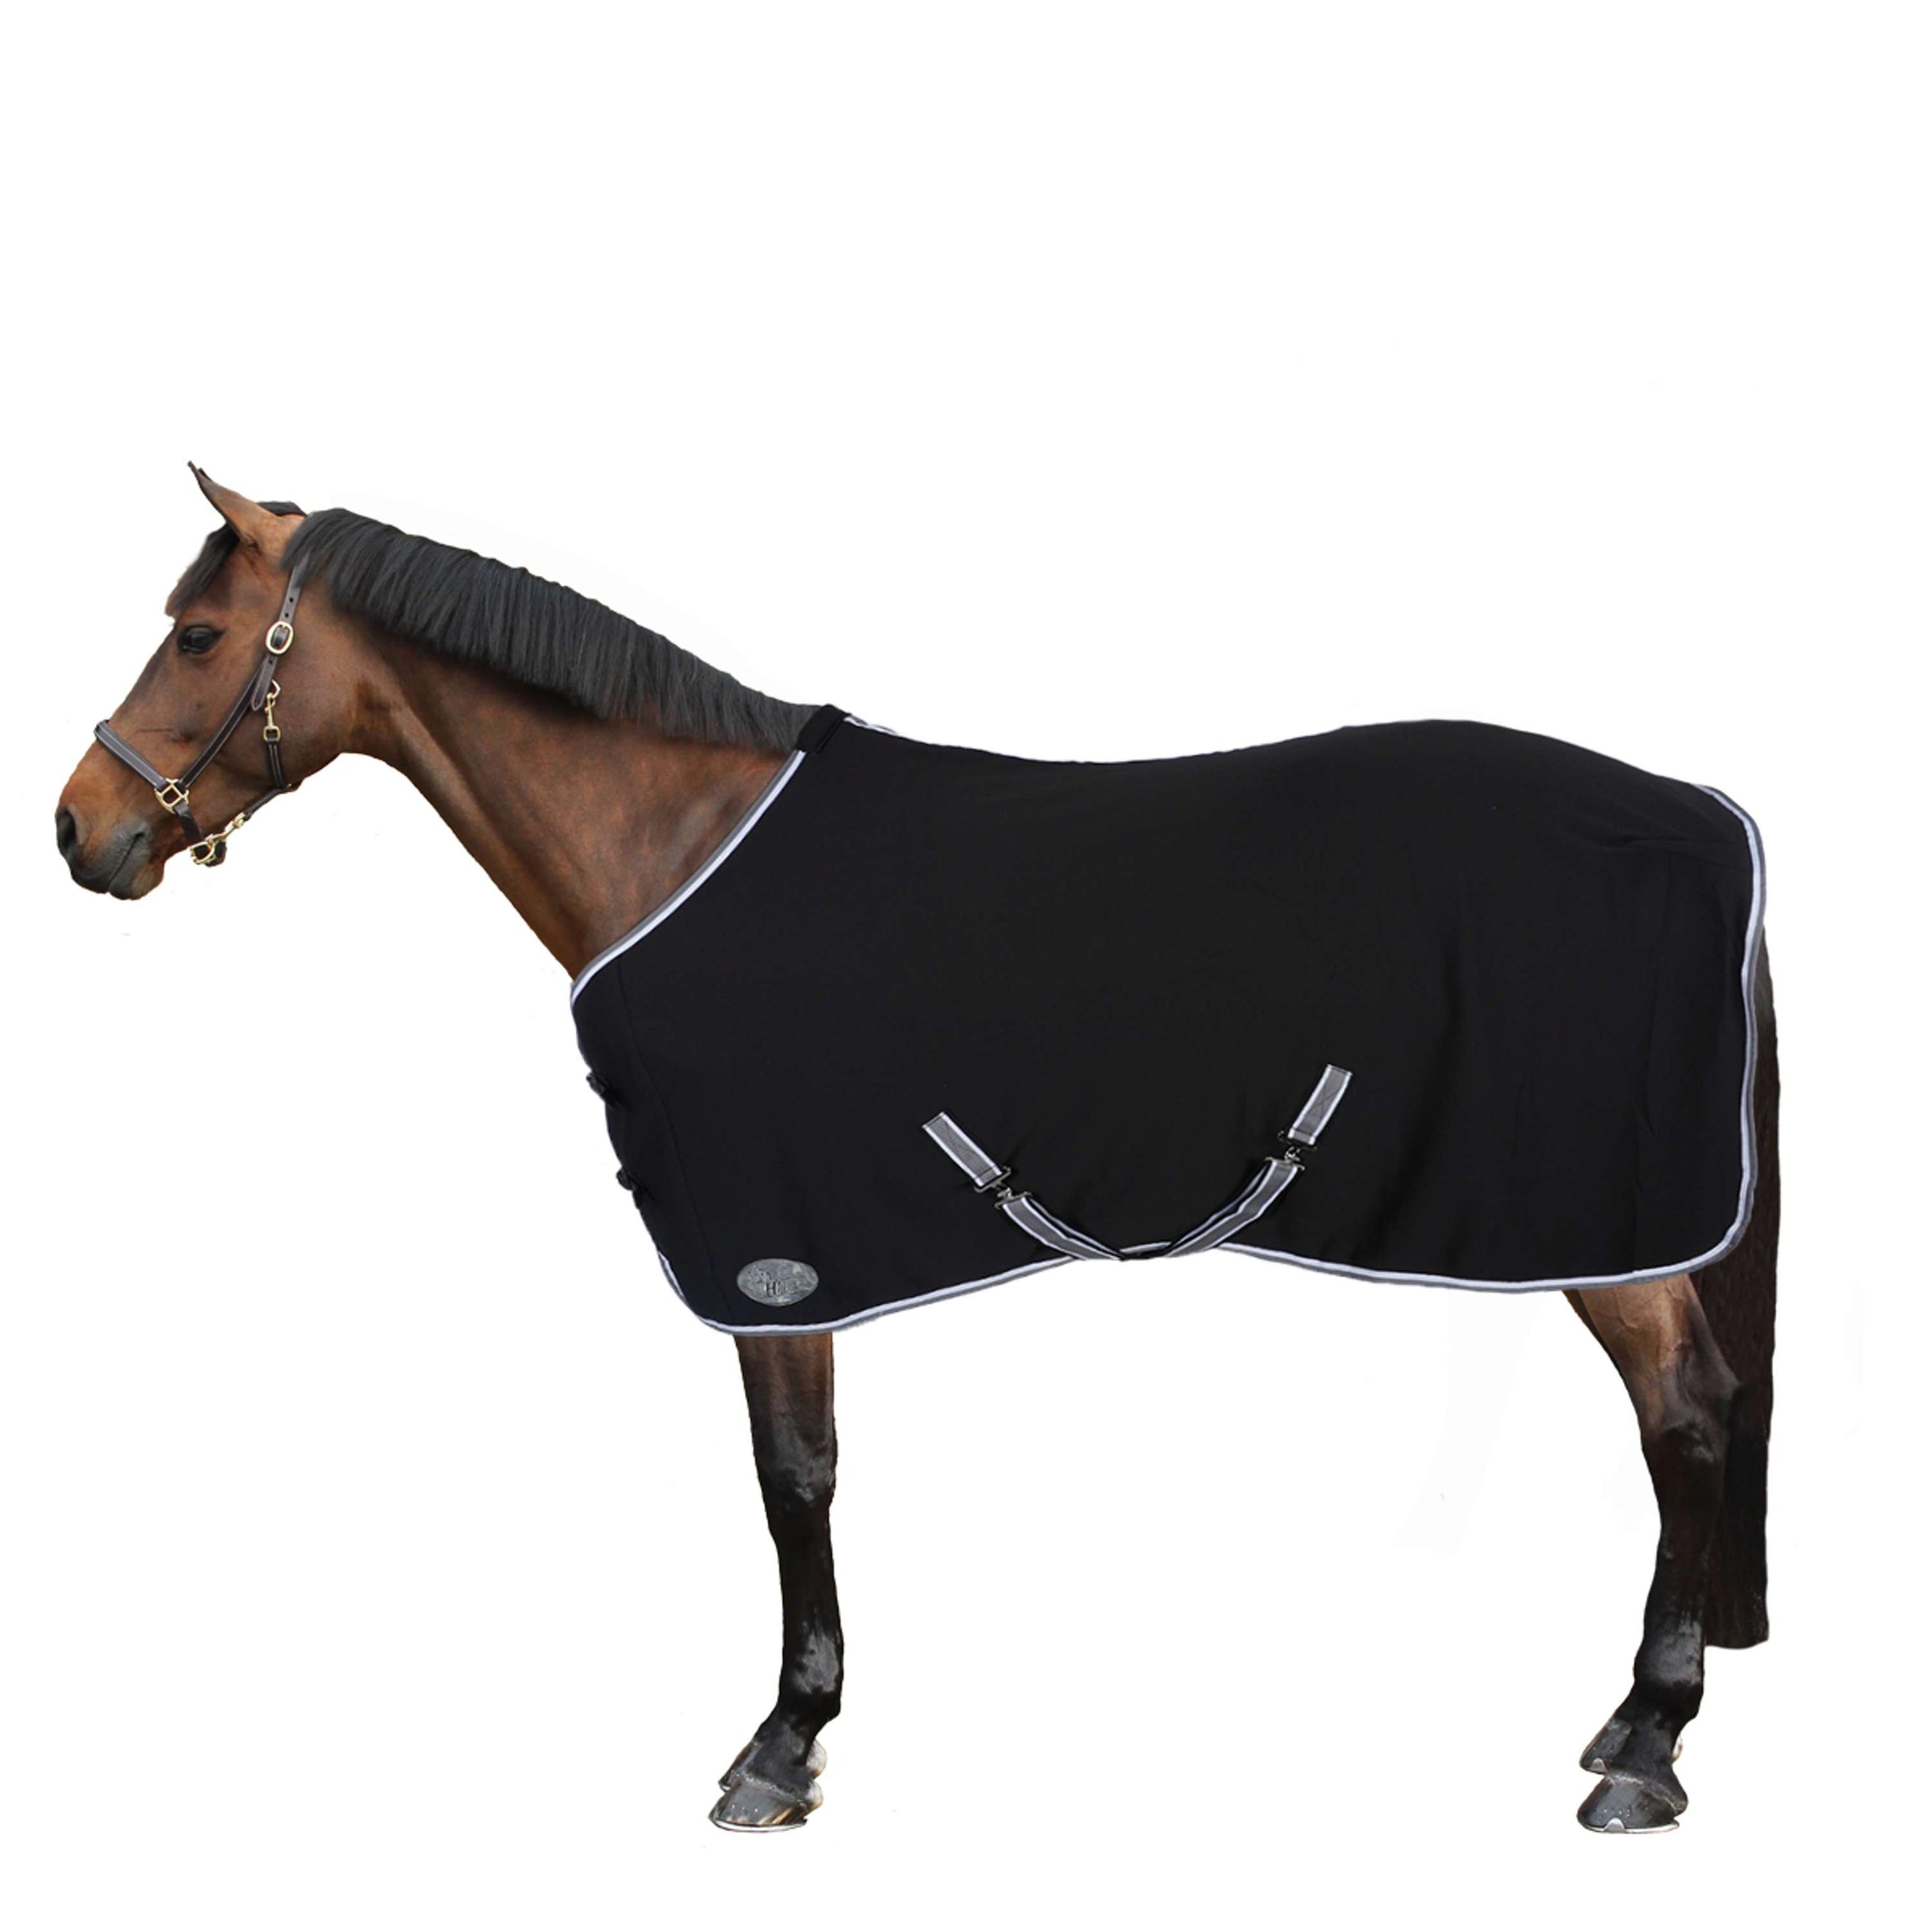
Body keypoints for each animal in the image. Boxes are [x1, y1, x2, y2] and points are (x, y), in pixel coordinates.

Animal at [55, 469, 1779, 1835]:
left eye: (199, 636)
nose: (80, 831)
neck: (679, 845)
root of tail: (1702, 813)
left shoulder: (772, 1247)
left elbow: (794, 1478)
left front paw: (782, 1744)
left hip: (1611, 1226)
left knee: (1687, 1415)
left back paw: (1648, 1748)